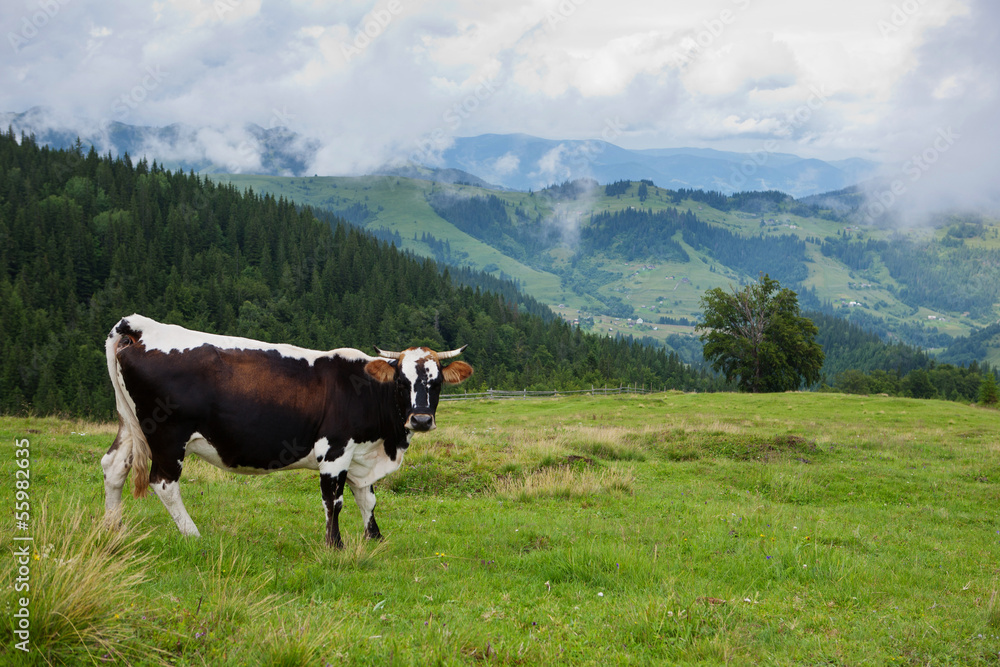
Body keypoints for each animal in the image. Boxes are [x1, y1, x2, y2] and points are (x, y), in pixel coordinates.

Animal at [101, 318, 472, 548]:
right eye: (401, 382)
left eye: (437, 382)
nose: (420, 419)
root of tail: (140, 327)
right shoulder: (334, 450)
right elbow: (334, 500)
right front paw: (335, 545)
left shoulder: (360, 455)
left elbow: (367, 498)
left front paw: (375, 539)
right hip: (168, 436)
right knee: (164, 483)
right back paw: (193, 535)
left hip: (133, 426)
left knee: (114, 467)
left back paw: (112, 528)